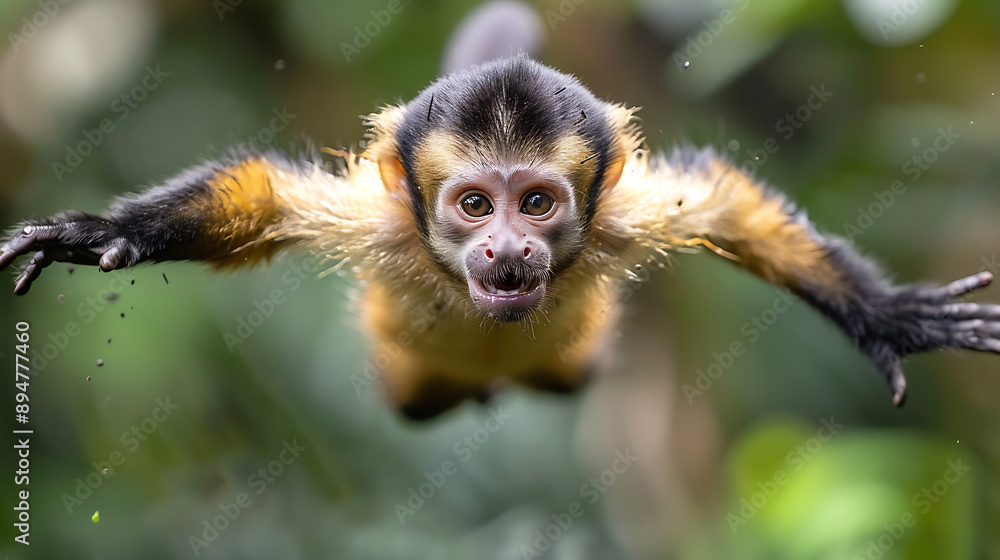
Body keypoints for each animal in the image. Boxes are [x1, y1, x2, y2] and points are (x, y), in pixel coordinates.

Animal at [2, 56, 999, 419]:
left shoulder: (622, 213)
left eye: (540, 204)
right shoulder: (384, 217)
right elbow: (265, 196)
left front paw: (891, 316)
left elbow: (726, 207)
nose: (508, 249)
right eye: (477, 205)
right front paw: (100, 233)